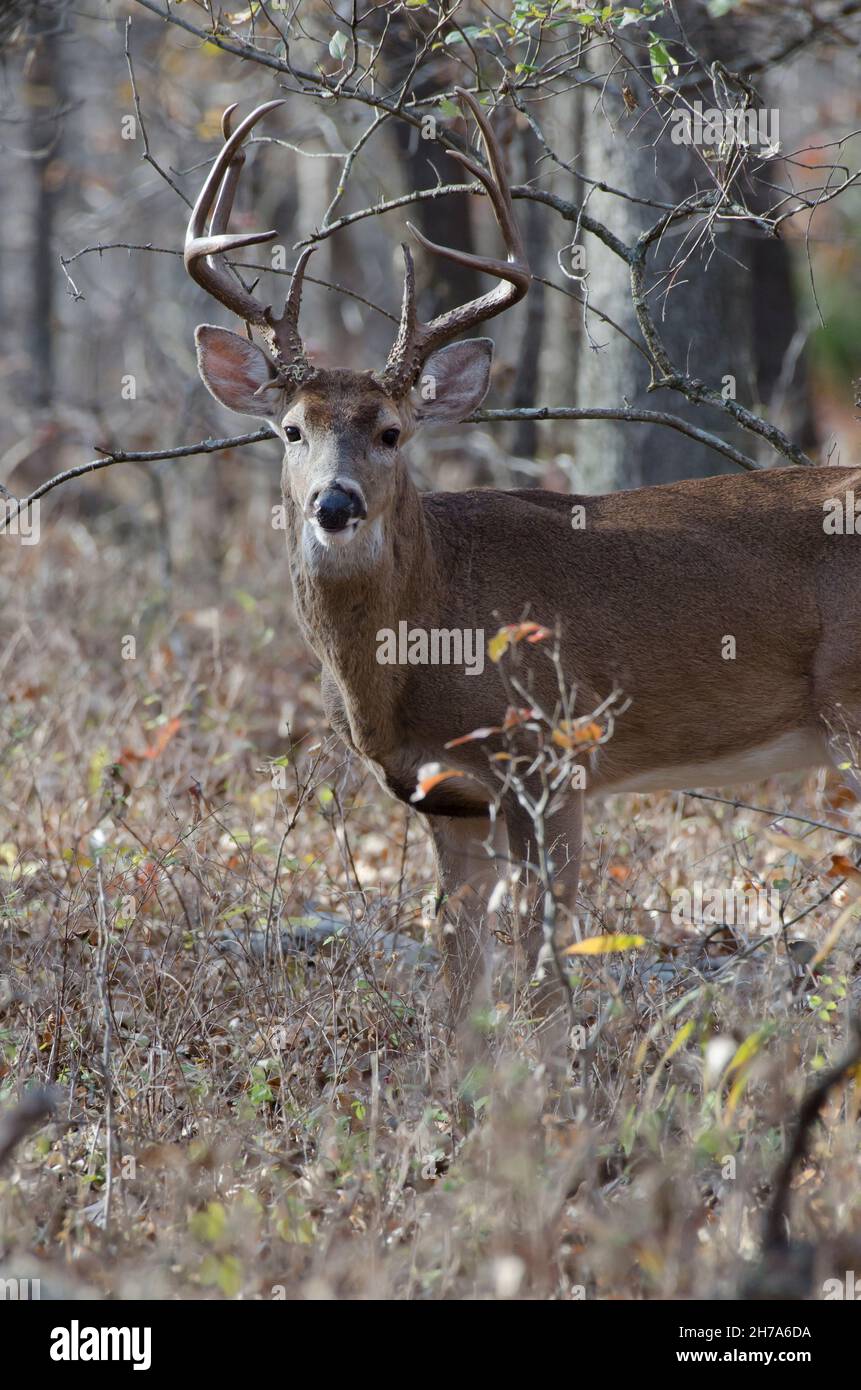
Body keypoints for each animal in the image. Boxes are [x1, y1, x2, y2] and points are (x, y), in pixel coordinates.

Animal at [184, 89, 861, 1037]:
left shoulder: (554, 755)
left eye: (391, 432)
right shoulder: (444, 794)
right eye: (289, 430)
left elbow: (547, 959)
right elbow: (458, 968)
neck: (428, 634)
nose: (335, 504)